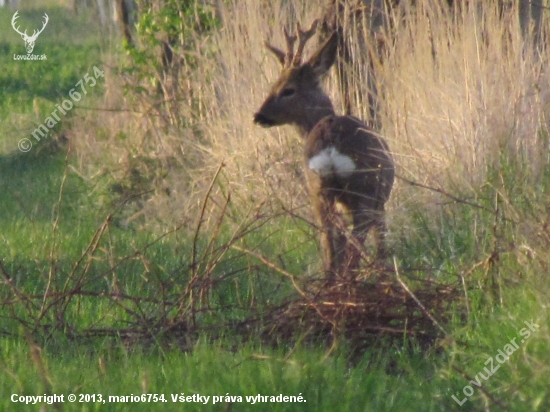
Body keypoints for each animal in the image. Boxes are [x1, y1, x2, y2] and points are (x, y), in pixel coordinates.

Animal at [256, 19, 394, 276]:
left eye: (287, 89)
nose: (258, 115)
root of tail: (330, 141)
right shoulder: (380, 201)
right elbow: (381, 246)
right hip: (363, 189)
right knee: (354, 249)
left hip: (318, 190)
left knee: (331, 248)